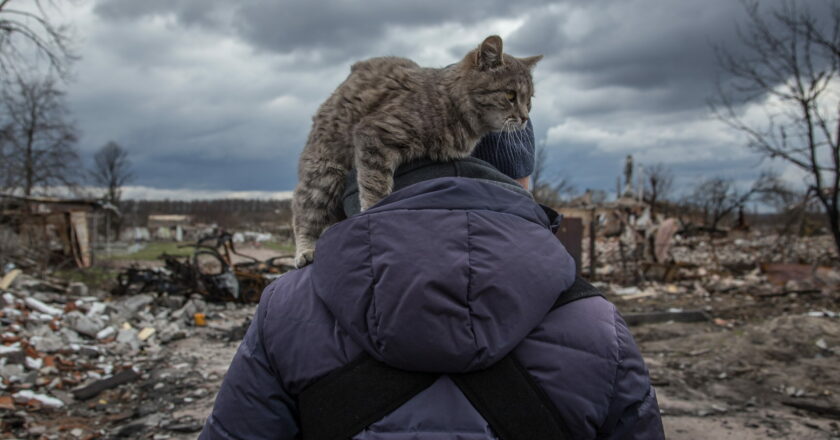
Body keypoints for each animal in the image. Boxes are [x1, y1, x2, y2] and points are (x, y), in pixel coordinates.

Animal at [290, 35, 540, 268]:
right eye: (510, 95)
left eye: (529, 101)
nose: (525, 118)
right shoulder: (374, 132)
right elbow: (375, 186)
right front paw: (372, 211)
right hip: (325, 174)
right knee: (302, 213)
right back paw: (305, 251)